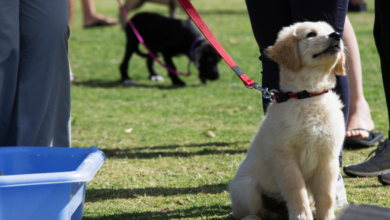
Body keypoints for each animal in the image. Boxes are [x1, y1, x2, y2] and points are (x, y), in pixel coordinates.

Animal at [230, 21, 346, 220]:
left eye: (331, 30)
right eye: (311, 34)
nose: (336, 35)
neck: (308, 96)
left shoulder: (328, 157)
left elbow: (327, 195)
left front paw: (326, 216)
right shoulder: (284, 157)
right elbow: (296, 189)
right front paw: (301, 216)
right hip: (246, 187)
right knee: (251, 211)